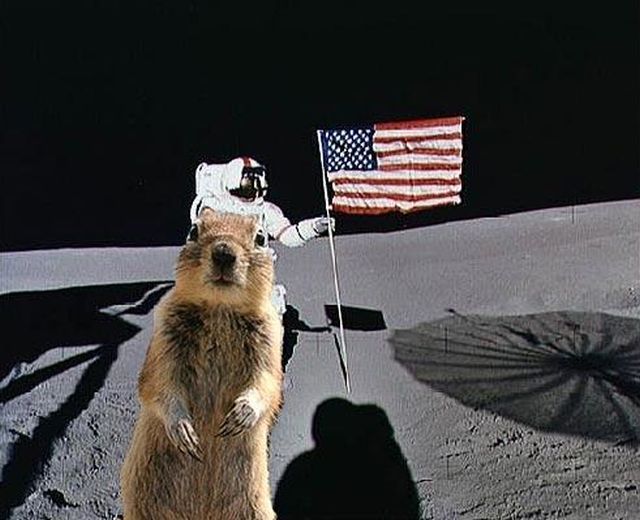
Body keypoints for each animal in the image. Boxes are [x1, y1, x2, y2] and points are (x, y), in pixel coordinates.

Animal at [120, 208, 283, 520]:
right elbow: (158, 383)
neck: (220, 307)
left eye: (260, 237)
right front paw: (184, 432)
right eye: (193, 231)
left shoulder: (270, 340)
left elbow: (267, 384)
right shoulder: (164, 335)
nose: (223, 252)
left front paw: (240, 416)